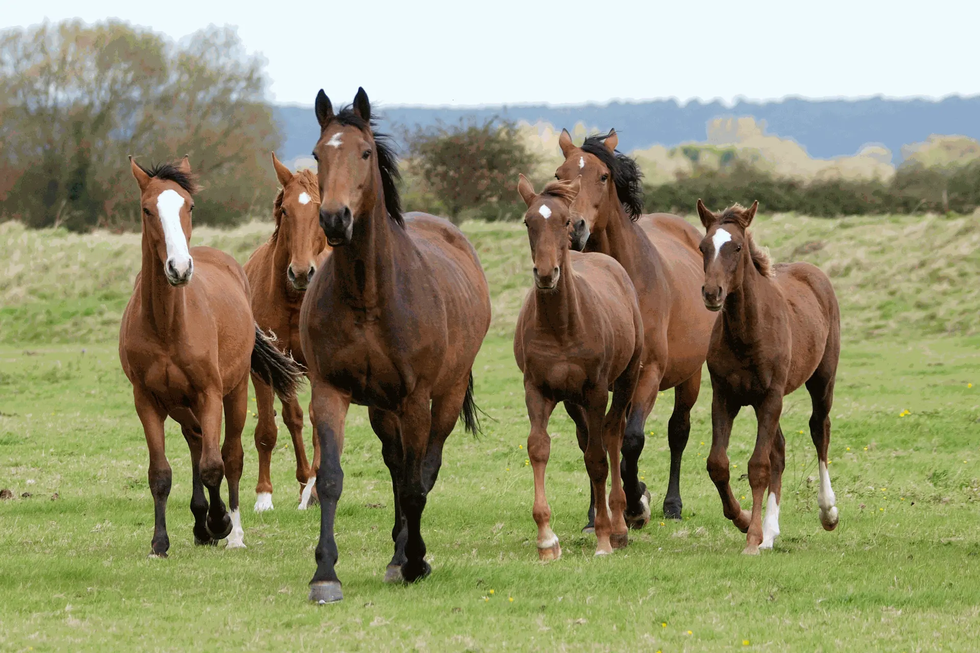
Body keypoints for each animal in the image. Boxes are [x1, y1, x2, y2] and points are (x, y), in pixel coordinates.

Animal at [119, 156, 303, 557]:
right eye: (147, 209)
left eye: (189, 206)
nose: (179, 267)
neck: (168, 325)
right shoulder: (146, 400)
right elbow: (160, 473)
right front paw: (160, 543)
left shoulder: (209, 394)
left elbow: (214, 465)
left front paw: (220, 523)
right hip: (180, 405)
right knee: (195, 441)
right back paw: (200, 523)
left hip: (234, 395)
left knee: (230, 456)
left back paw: (231, 532)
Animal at [300, 88, 491, 603]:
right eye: (318, 154)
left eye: (365, 152)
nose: (334, 218)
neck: (369, 296)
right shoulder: (329, 392)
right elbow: (331, 479)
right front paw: (325, 574)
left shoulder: (415, 400)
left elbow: (414, 485)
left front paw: (418, 561)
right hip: (382, 409)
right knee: (395, 464)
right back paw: (395, 554)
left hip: (442, 399)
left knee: (423, 469)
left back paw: (407, 557)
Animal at [514, 175, 643, 559]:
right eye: (528, 222)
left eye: (565, 221)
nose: (545, 274)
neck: (562, 325)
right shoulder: (536, 390)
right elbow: (539, 448)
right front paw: (546, 539)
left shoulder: (596, 391)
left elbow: (598, 458)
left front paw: (603, 538)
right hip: (572, 401)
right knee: (589, 442)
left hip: (626, 380)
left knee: (612, 437)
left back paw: (617, 525)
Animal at [555, 129, 716, 528]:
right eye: (559, 175)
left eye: (603, 176)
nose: (574, 228)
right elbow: (591, 441)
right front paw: (596, 512)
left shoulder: (648, 373)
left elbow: (632, 439)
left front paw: (636, 502)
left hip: (689, 376)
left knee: (678, 432)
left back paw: (671, 505)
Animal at [696, 200, 841, 554]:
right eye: (703, 246)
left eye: (736, 247)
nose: (712, 292)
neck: (748, 331)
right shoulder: (724, 397)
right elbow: (718, 464)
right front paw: (746, 521)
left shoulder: (771, 396)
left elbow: (758, 466)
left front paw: (751, 538)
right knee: (780, 450)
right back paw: (770, 532)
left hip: (821, 380)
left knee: (820, 430)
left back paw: (827, 512)